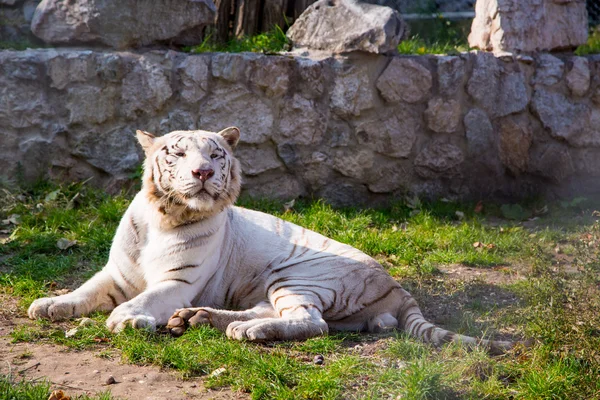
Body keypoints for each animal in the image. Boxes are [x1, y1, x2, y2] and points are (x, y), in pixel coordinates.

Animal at [28, 127, 512, 354]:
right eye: (178, 153)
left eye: (216, 154)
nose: (203, 172)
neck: (162, 216)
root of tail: (398, 286)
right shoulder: (116, 273)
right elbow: (84, 290)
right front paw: (49, 305)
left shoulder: (177, 281)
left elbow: (145, 300)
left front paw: (127, 320)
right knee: (284, 315)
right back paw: (199, 319)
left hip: (296, 275)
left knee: (312, 323)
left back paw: (241, 329)